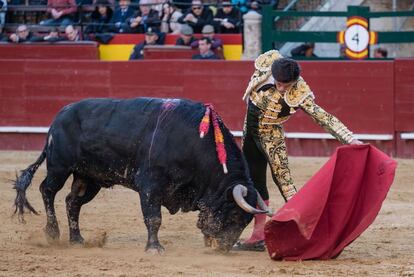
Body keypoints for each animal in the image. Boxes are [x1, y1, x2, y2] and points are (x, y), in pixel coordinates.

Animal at [13, 97, 268, 252]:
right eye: (234, 215)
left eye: (246, 221)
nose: (223, 248)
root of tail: (60, 115)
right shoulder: (150, 186)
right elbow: (153, 218)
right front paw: (154, 248)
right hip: (60, 166)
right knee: (47, 190)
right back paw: (52, 233)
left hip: (88, 177)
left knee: (72, 202)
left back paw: (77, 239)